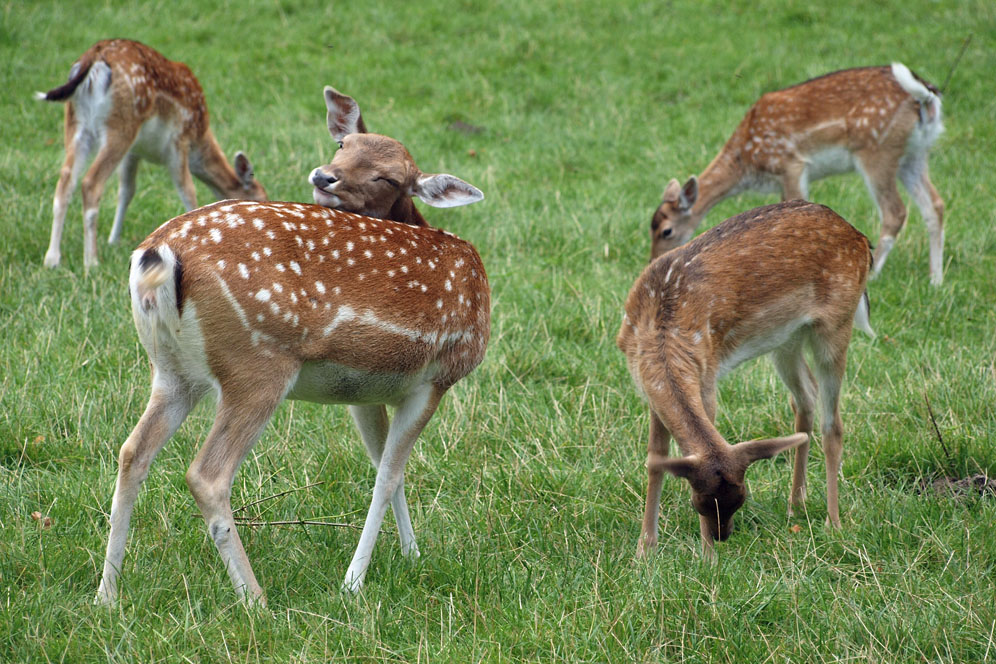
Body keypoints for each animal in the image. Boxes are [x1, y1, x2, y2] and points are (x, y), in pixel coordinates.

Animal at [36, 39, 268, 272]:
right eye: (260, 198)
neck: (200, 140)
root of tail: (93, 56)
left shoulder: (134, 152)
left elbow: (126, 191)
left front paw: (113, 240)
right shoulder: (179, 141)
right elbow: (187, 190)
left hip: (76, 123)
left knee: (65, 181)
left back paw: (52, 259)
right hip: (120, 125)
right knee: (91, 183)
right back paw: (91, 260)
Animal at [97, 85, 490, 604]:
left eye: (388, 177)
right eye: (343, 145)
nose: (324, 176)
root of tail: (156, 256)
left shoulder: (365, 390)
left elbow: (386, 467)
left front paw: (411, 556)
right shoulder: (437, 377)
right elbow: (387, 474)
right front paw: (354, 582)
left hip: (172, 370)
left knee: (132, 452)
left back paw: (106, 596)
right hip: (257, 363)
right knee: (207, 474)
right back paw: (256, 601)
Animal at [620, 200, 876, 556]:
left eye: (740, 499)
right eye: (699, 503)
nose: (721, 536)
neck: (660, 326)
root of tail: (861, 238)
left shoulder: (706, 375)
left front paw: (706, 558)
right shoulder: (648, 389)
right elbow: (655, 459)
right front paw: (644, 550)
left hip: (837, 322)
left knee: (833, 423)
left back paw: (833, 523)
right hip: (786, 338)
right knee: (805, 398)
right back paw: (796, 504)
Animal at [648, 63, 944, 286]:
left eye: (666, 231)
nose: (652, 261)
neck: (746, 161)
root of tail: (927, 98)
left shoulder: (791, 164)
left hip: (876, 150)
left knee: (895, 211)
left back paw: (875, 275)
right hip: (915, 155)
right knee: (935, 205)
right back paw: (935, 280)